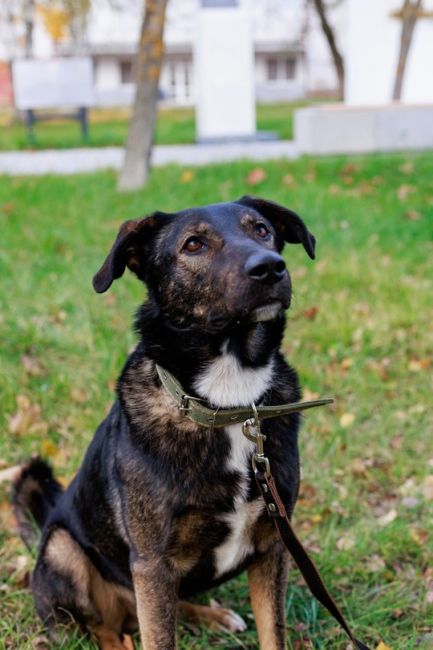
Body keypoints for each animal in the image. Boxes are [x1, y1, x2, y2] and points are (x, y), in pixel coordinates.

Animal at [13, 195, 316, 644]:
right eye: (193, 245)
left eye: (261, 229)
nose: (270, 267)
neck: (227, 401)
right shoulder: (153, 561)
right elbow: (158, 637)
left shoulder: (272, 544)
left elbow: (272, 633)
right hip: (64, 551)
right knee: (105, 631)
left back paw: (214, 616)